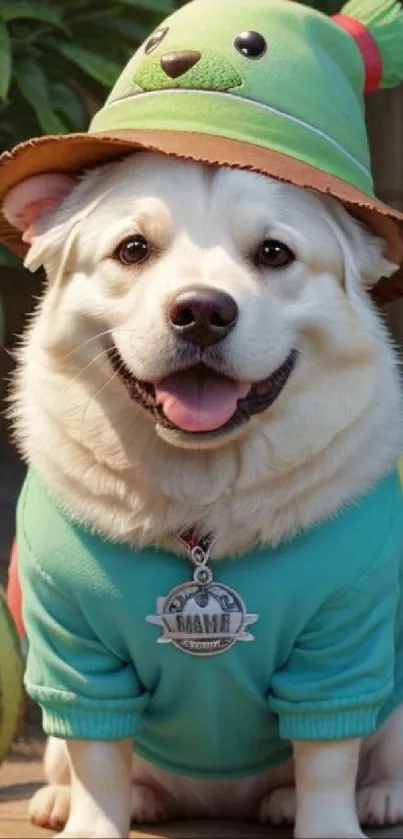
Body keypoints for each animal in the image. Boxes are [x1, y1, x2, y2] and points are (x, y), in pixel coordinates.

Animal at [4, 153, 403, 839]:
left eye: (274, 253)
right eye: (133, 248)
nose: (202, 312)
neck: (202, 492)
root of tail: (219, 804)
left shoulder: (343, 642)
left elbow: (327, 760)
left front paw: (329, 822)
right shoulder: (73, 648)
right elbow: (96, 760)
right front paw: (91, 821)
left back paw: (365, 797)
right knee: (77, 764)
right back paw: (86, 799)